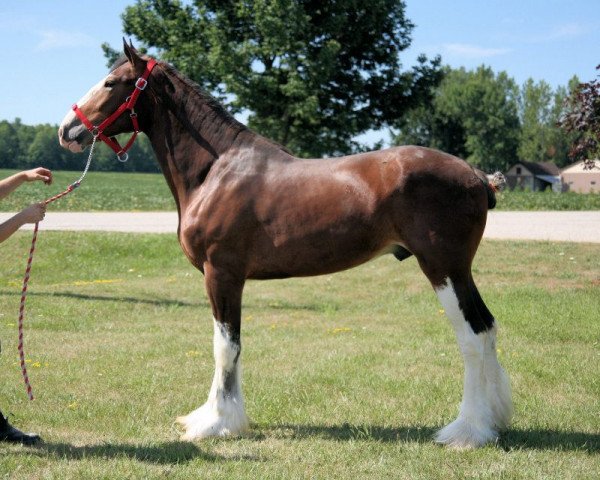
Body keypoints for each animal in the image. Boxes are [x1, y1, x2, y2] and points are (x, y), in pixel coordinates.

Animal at [58, 42, 512, 450]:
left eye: (111, 82)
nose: (66, 130)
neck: (217, 169)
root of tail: (476, 175)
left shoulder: (222, 274)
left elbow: (225, 346)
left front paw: (217, 423)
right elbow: (230, 346)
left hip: (442, 268)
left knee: (472, 336)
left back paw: (466, 432)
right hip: (459, 271)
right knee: (488, 327)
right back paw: (495, 420)